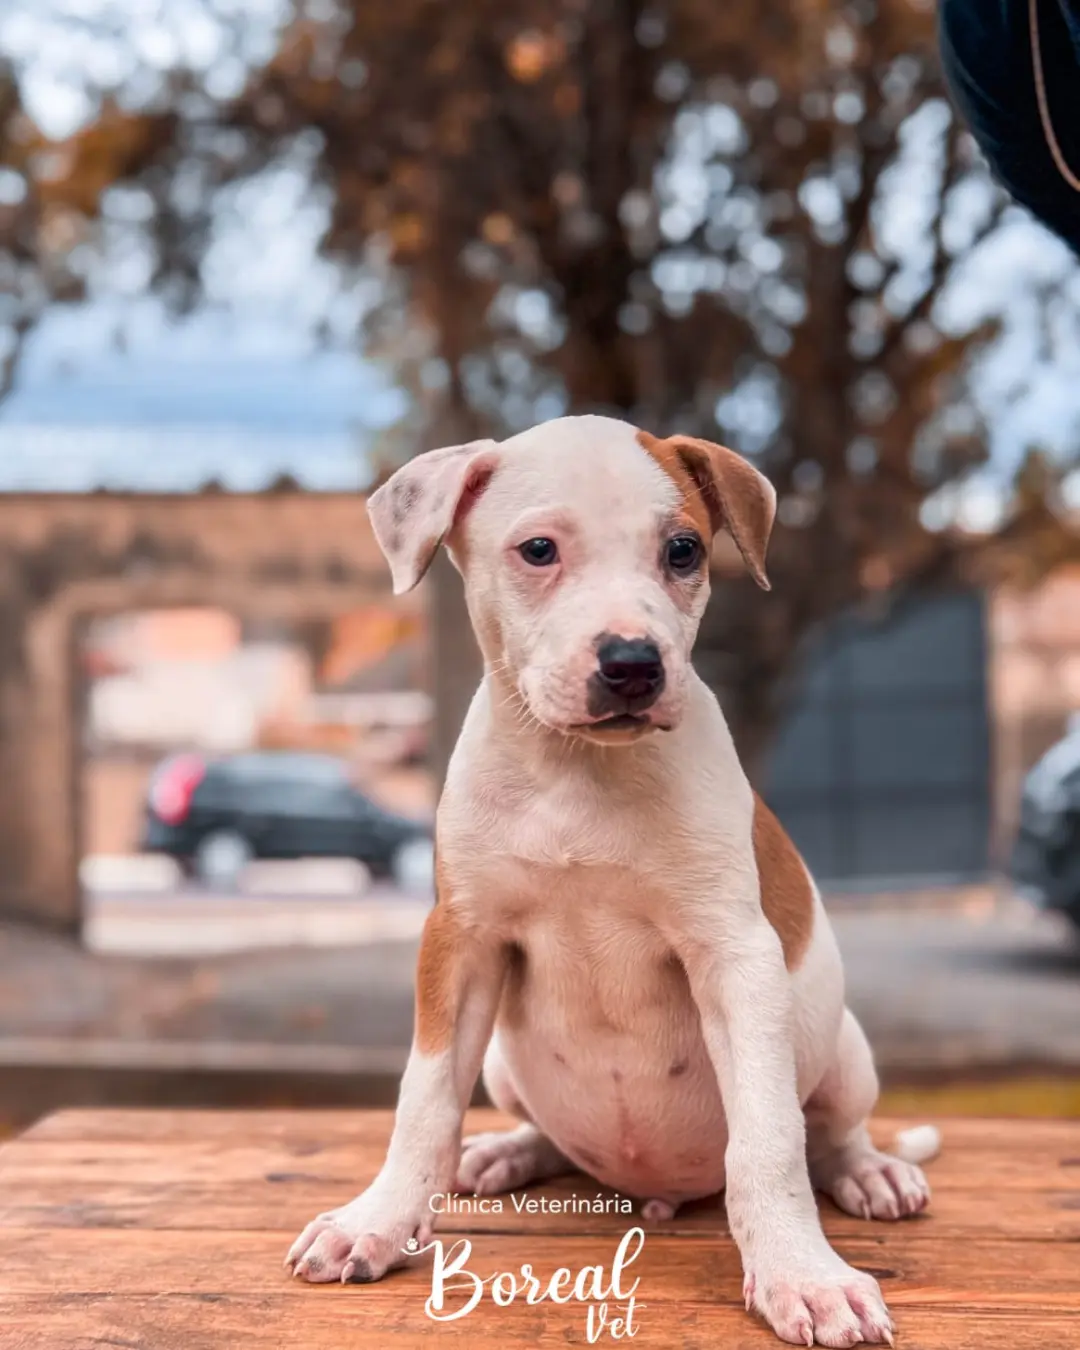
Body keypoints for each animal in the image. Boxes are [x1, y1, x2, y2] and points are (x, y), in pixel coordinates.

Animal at [284, 415, 934, 1344]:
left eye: (684, 550)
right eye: (539, 550)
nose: (633, 663)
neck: (576, 773)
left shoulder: (734, 957)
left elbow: (768, 1138)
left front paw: (803, 1277)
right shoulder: (461, 942)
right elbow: (423, 1099)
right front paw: (375, 1221)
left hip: (843, 1051)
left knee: (828, 1136)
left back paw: (871, 1172)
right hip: (504, 1063)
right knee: (548, 1131)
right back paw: (505, 1152)